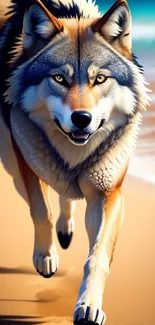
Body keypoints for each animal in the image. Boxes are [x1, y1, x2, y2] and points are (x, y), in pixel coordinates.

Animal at [0, 0, 150, 322]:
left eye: (100, 79)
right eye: (59, 78)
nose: (82, 118)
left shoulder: (108, 193)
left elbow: (98, 256)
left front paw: (89, 305)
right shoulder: (29, 168)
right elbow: (41, 212)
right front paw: (45, 257)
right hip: (13, 163)